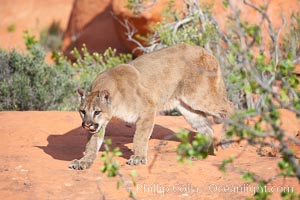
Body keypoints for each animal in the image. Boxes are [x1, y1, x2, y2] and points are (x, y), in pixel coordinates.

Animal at [69, 43, 233, 169]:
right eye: (82, 111)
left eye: (97, 112)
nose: (87, 124)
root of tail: (207, 51)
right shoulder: (100, 125)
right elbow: (92, 143)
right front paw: (83, 161)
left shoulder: (148, 109)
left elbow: (140, 136)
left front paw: (138, 158)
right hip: (187, 107)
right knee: (207, 129)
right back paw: (200, 153)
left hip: (198, 96)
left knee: (230, 107)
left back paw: (226, 141)